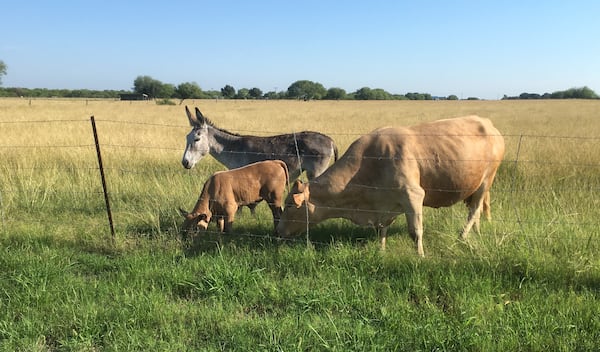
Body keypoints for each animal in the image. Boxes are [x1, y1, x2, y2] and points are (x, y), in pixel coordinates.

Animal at [276, 115, 506, 256]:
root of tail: (489, 124)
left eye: (290, 205)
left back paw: (462, 236)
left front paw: (420, 256)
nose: (278, 230)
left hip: (487, 180)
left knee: (475, 209)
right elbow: (382, 229)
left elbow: (415, 231)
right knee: (476, 210)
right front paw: (381, 250)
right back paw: (475, 232)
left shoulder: (413, 195)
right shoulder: (383, 203)